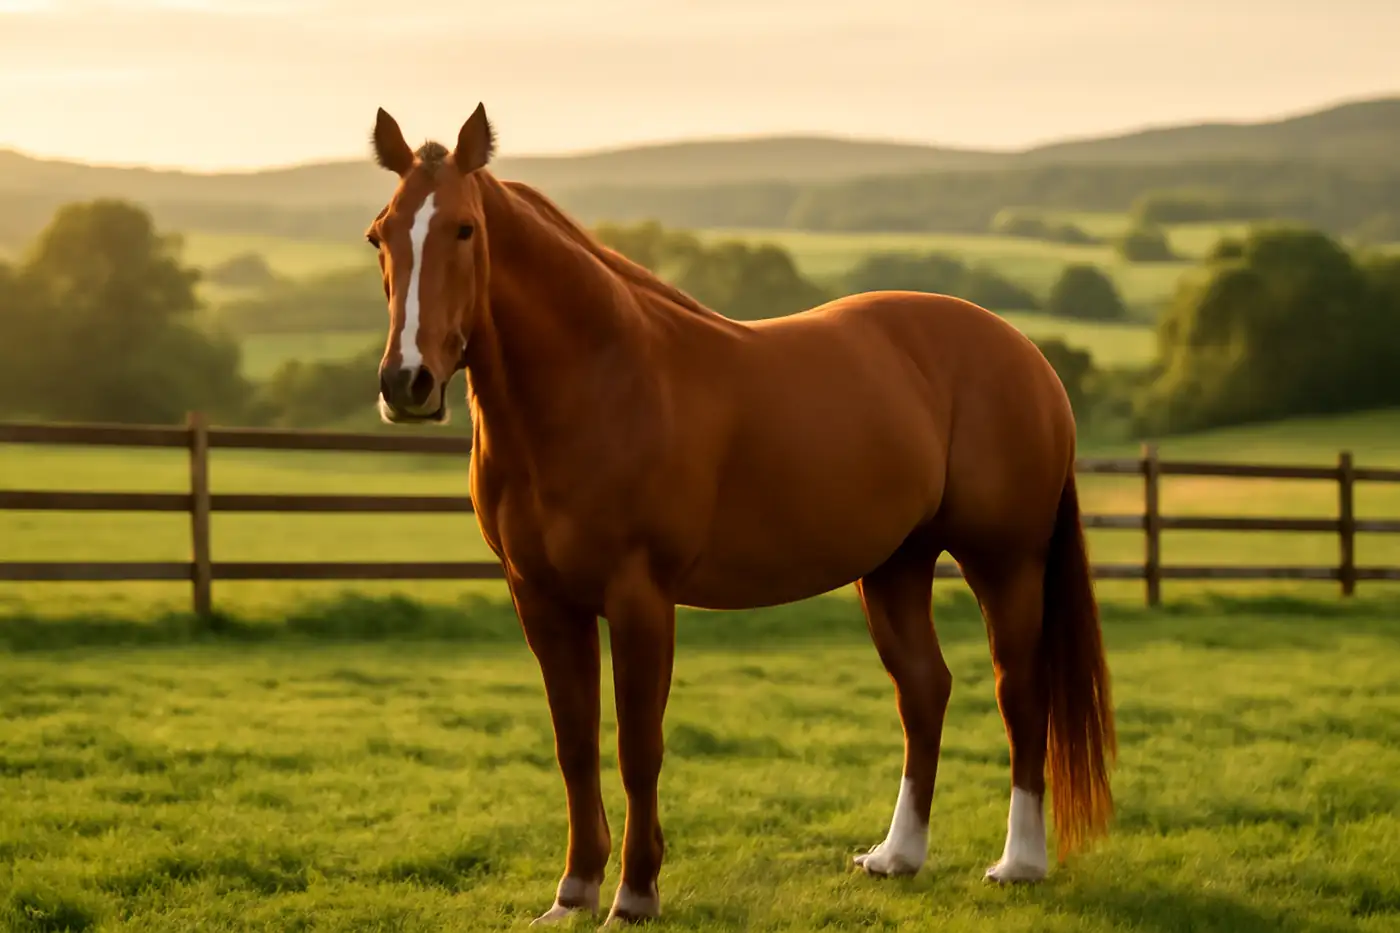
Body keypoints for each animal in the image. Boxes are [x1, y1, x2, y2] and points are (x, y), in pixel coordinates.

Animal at [363, 104, 1116, 926]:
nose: (407, 382)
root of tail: (1025, 354)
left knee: (1021, 691)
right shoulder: (541, 598)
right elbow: (574, 744)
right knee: (924, 689)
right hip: (895, 564)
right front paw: (573, 892)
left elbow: (638, 746)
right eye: (380, 234)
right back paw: (896, 856)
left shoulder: (640, 598)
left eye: (464, 229)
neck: (598, 383)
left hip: (1006, 562)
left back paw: (1020, 863)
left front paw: (634, 894)